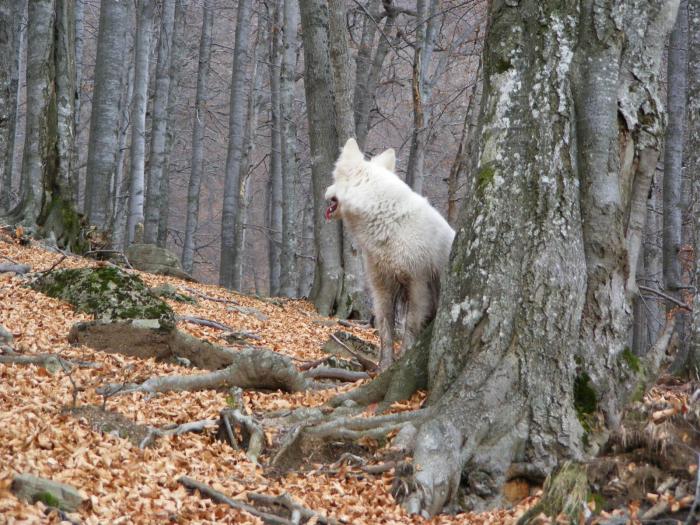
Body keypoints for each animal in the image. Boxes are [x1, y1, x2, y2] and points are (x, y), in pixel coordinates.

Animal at [326, 139, 456, 368]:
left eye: (335, 178)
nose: (325, 190)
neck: (389, 222)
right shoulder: (381, 285)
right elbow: (385, 328)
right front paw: (385, 365)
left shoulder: (418, 284)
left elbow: (410, 325)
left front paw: (404, 356)